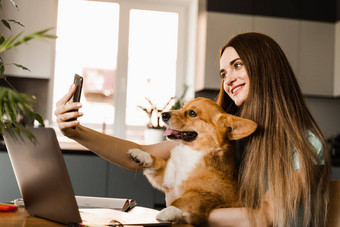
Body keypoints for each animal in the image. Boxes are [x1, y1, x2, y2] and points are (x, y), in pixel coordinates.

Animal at [129, 97, 256, 225]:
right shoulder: (167, 178)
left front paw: (168, 210)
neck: (192, 152)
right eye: (182, 107)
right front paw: (141, 155)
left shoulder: (210, 194)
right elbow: (157, 162)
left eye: (192, 113)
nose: (163, 114)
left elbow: (186, 199)